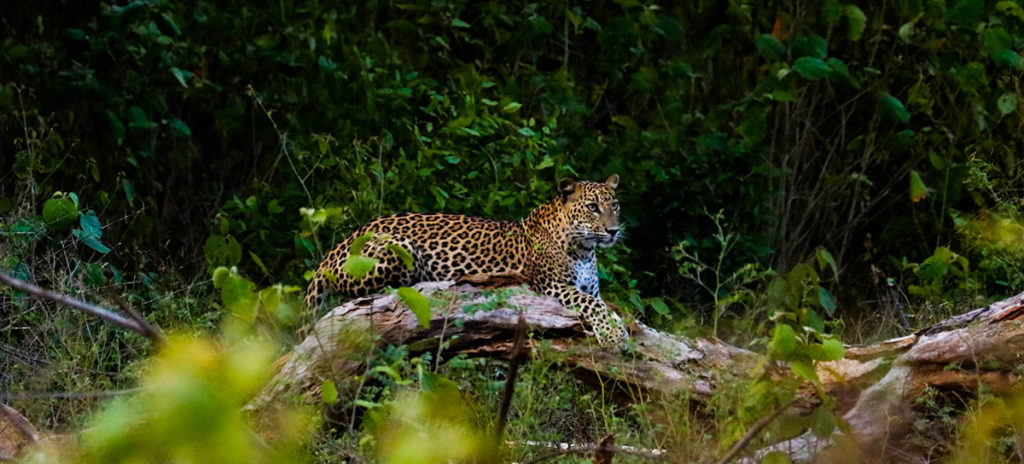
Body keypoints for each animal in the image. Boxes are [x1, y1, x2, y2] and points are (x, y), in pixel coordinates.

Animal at [303, 174, 626, 344]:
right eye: (593, 207)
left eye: (615, 206)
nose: (614, 230)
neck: (585, 250)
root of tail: (341, 244)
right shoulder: (551, 286)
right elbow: (592, 305)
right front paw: (613, 335)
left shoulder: (590, 288)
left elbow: (603, 304)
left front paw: (618, 327)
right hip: (398, 248)